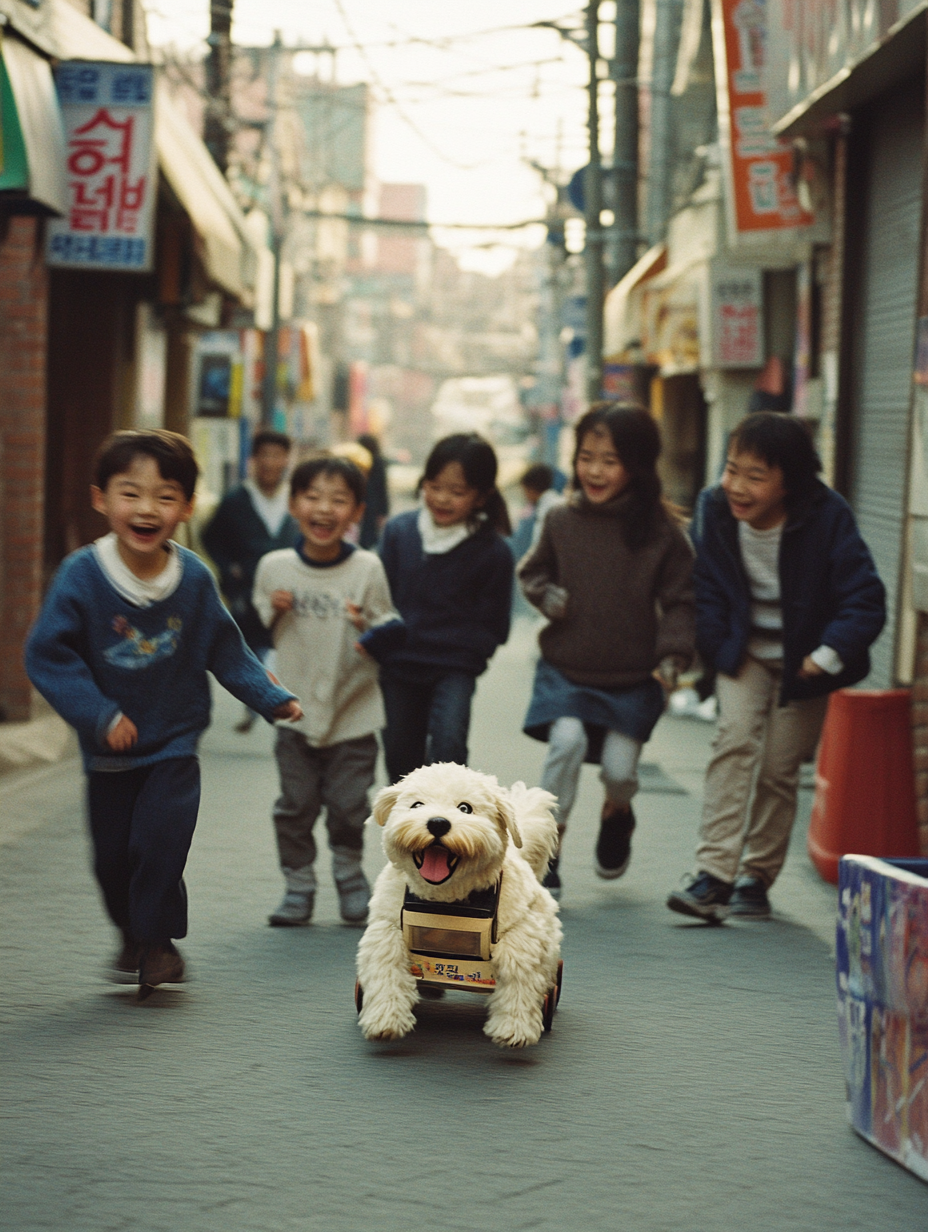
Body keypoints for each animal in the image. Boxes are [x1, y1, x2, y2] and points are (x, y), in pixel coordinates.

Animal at [352, 763, 557, 1044]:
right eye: (417, 805)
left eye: (465, 808)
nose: (438, 822)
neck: (446, 901)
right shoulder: (388, 924)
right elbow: (386, 961)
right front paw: (385, 1021)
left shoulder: (521, 929)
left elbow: (518, 970)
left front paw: (513, 1029)